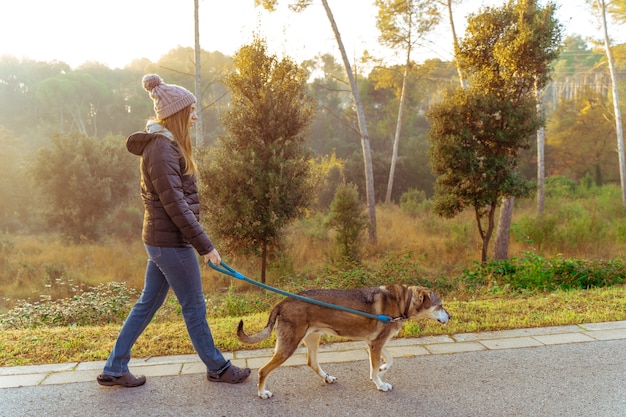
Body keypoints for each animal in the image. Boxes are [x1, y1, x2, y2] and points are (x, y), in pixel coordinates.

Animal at [238, 284, 448, 398]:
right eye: (440, 305)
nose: (451, 316)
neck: (403, 301)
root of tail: (283, 302)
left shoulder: (374, 342)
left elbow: (387, 359)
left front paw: (382, 369)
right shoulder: (376, 343)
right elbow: (376, 367)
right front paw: (380, 384)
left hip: (313, 338)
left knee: (312, 362)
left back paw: (327, 378)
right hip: (288, 346)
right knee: (263, 370)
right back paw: (262, 393)